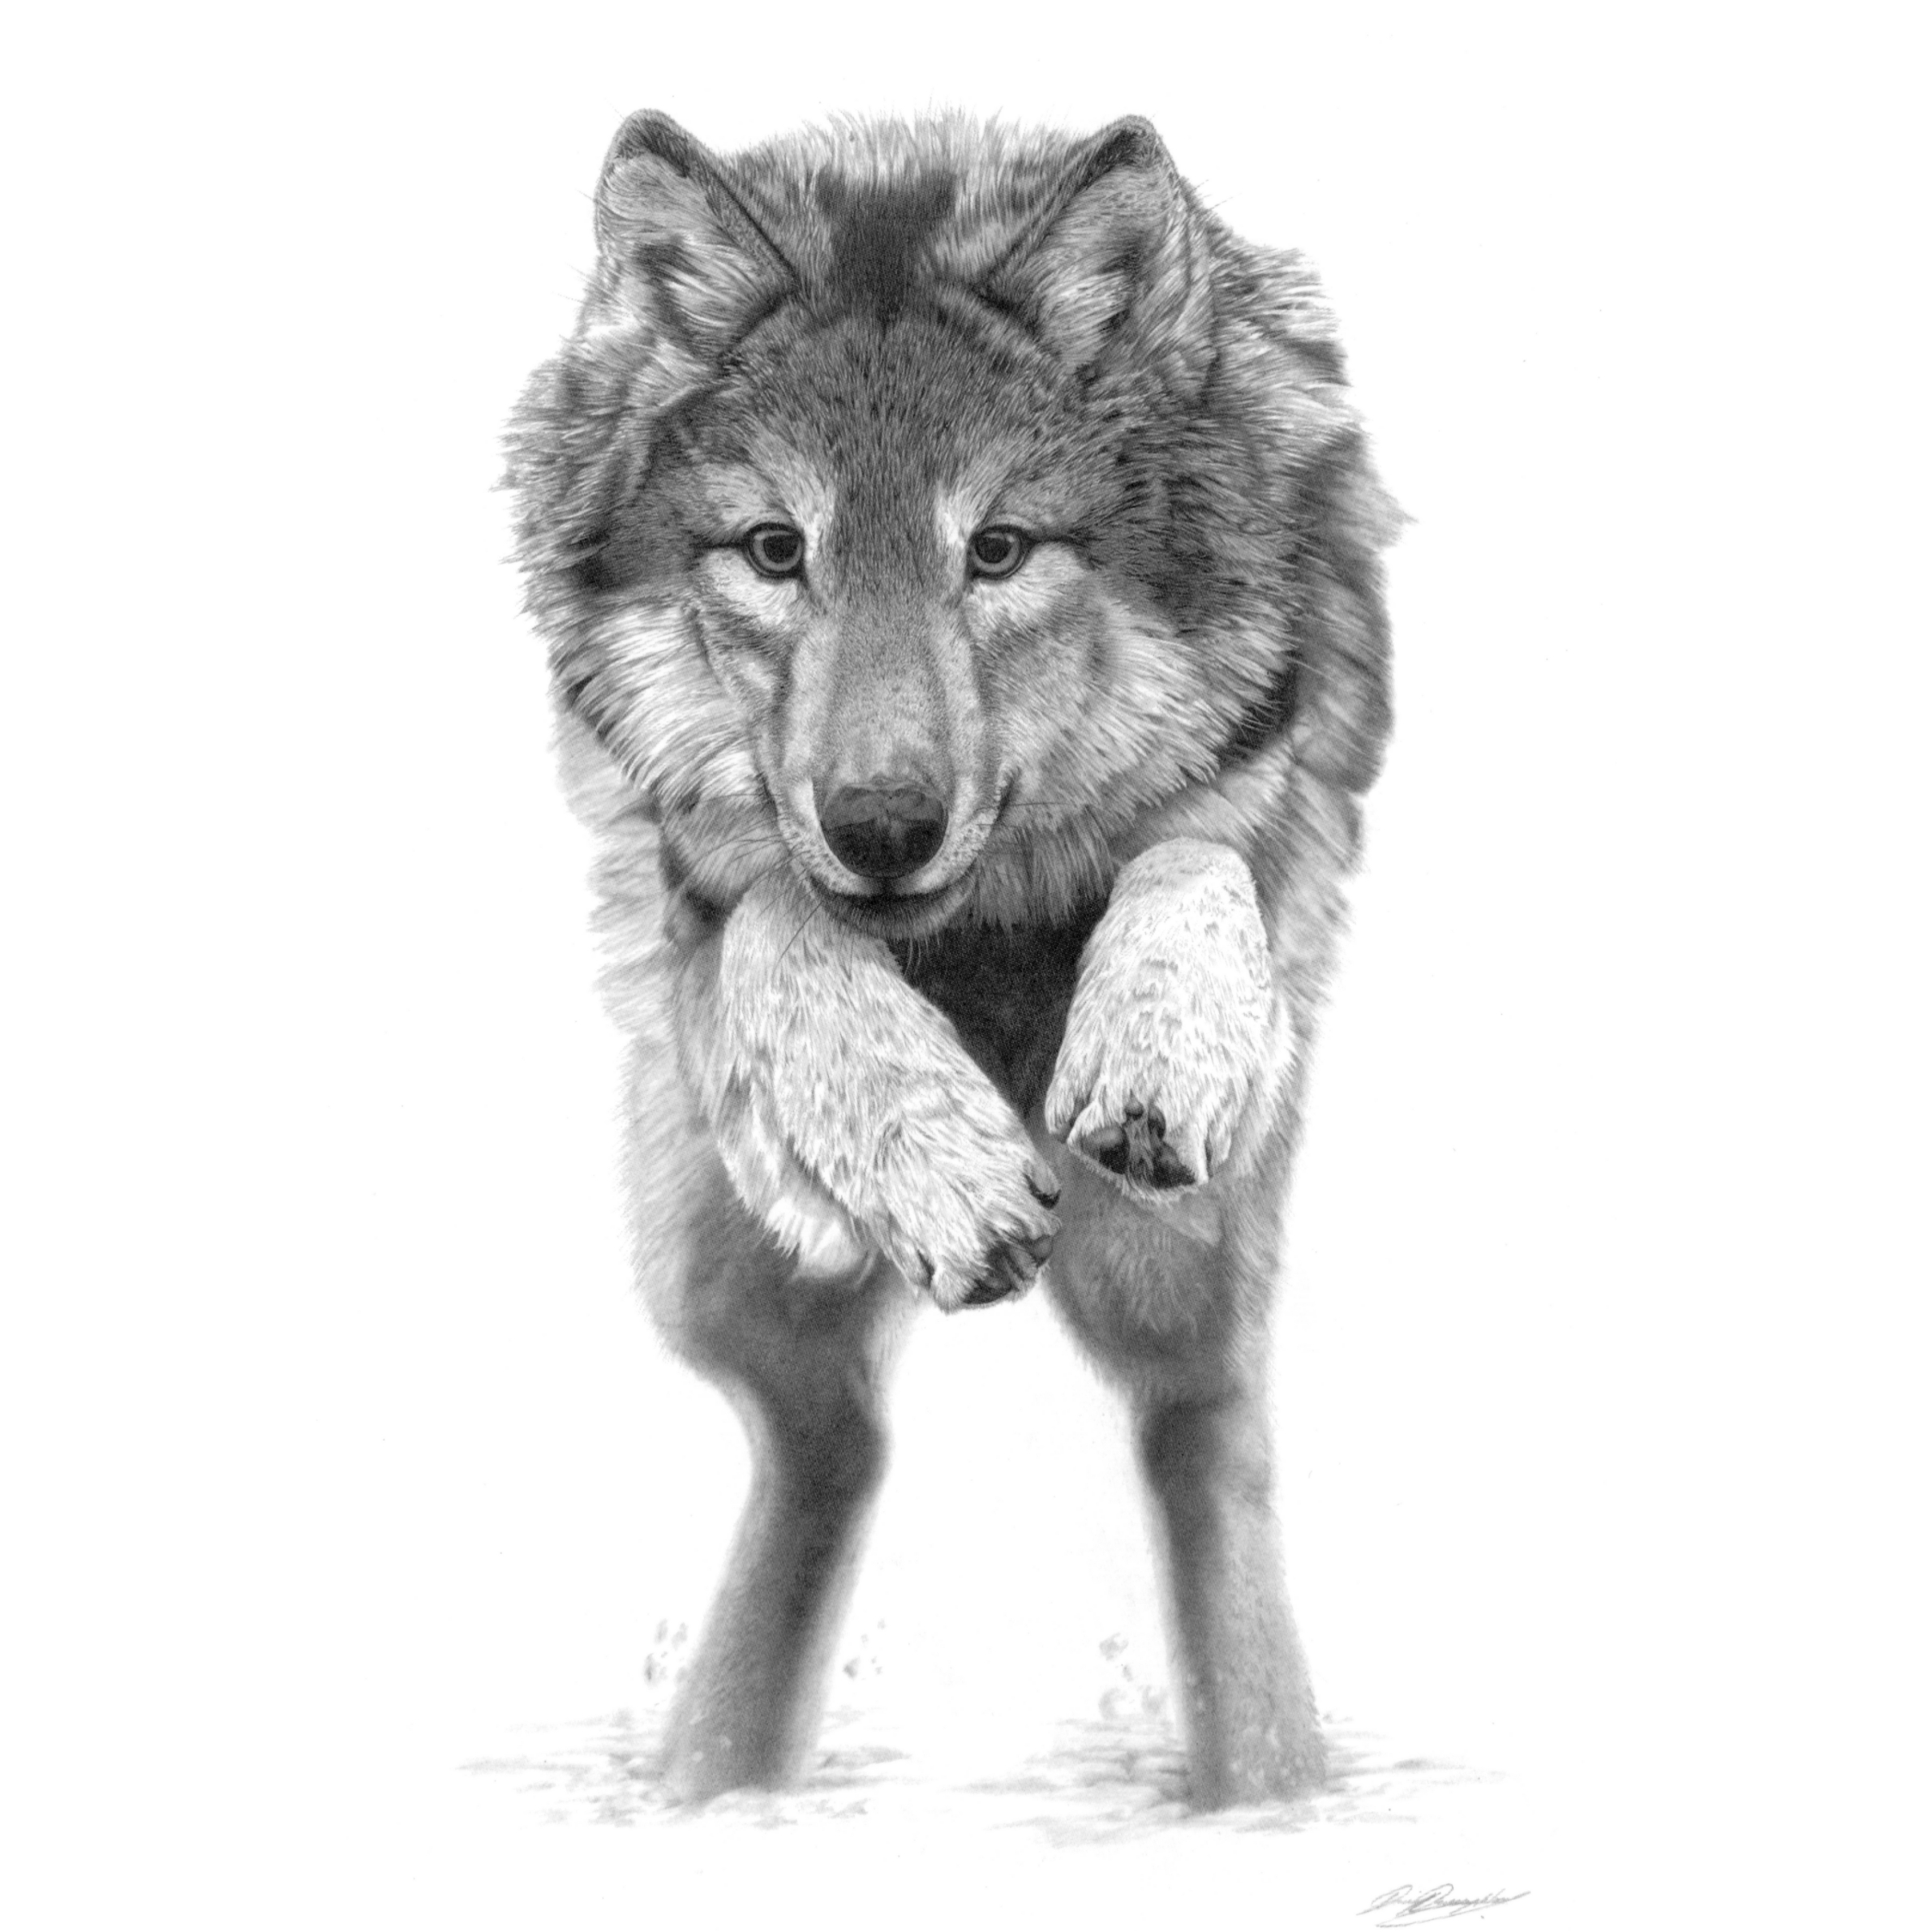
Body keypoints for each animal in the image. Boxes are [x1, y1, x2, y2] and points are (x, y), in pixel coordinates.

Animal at [505, 109, 1397, 1810]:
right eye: (773, 549)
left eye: (996, 549)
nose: (879, 827)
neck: (975, 947)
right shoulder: (712, 895)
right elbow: (779, 925)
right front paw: (944, 1169)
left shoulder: (1271, 787)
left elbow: (1193, 852)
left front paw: (1152, 1051)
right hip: (715, 1266)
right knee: (820, 1436)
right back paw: (718, 1776)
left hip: (1172, 1294)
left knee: (1205, 1432)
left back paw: (1262, 1778)